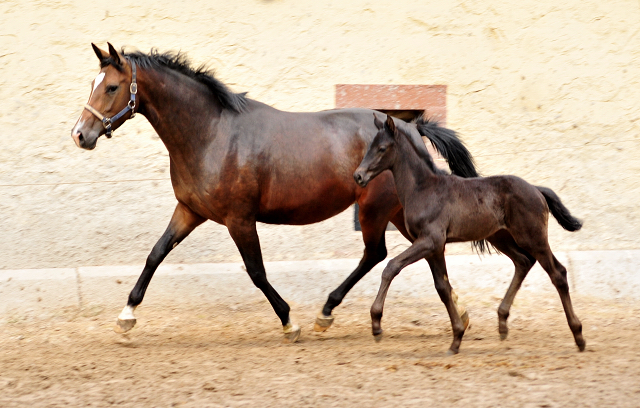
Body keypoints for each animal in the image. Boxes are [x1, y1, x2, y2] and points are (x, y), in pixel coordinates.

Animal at [72, 43, 478, 342]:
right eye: (93, 82)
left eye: (111, 87)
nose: (80, 135)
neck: (211, 134)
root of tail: (409, 129)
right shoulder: (189, 210)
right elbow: (155, 254)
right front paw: (126, 317)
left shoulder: (239, 219)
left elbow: (256, 271)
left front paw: (289, 322)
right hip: (397, 211)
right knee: (423, 249)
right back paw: (459, 310)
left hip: (375, 210)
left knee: (377, 254)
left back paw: (325, 313)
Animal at [356, 115, 584, 354]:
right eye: (369, 146)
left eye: (382, 148)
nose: (358, 176)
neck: (423, 189)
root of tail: (536, 189)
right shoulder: (434, 247)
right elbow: (442, 287)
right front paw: (456, 338)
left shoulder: (430, 240)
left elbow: (391, 267)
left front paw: (376, 324)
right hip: (501, 238)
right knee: (523, 262)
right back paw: (502, 323)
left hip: (533, 237)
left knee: (558, 273)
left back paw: (578, 335)